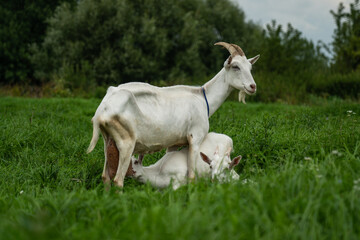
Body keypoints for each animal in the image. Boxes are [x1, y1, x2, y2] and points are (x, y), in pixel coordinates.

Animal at [88, 41, 260, 188]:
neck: (202, 99)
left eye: (250, 68)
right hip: (126, 141)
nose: (253, 86)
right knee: (118, 179)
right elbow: (191, 175)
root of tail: (103, 108)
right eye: (236, 66)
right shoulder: (195, 138)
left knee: (105, 176)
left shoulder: (174, 143)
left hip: (108, 140)